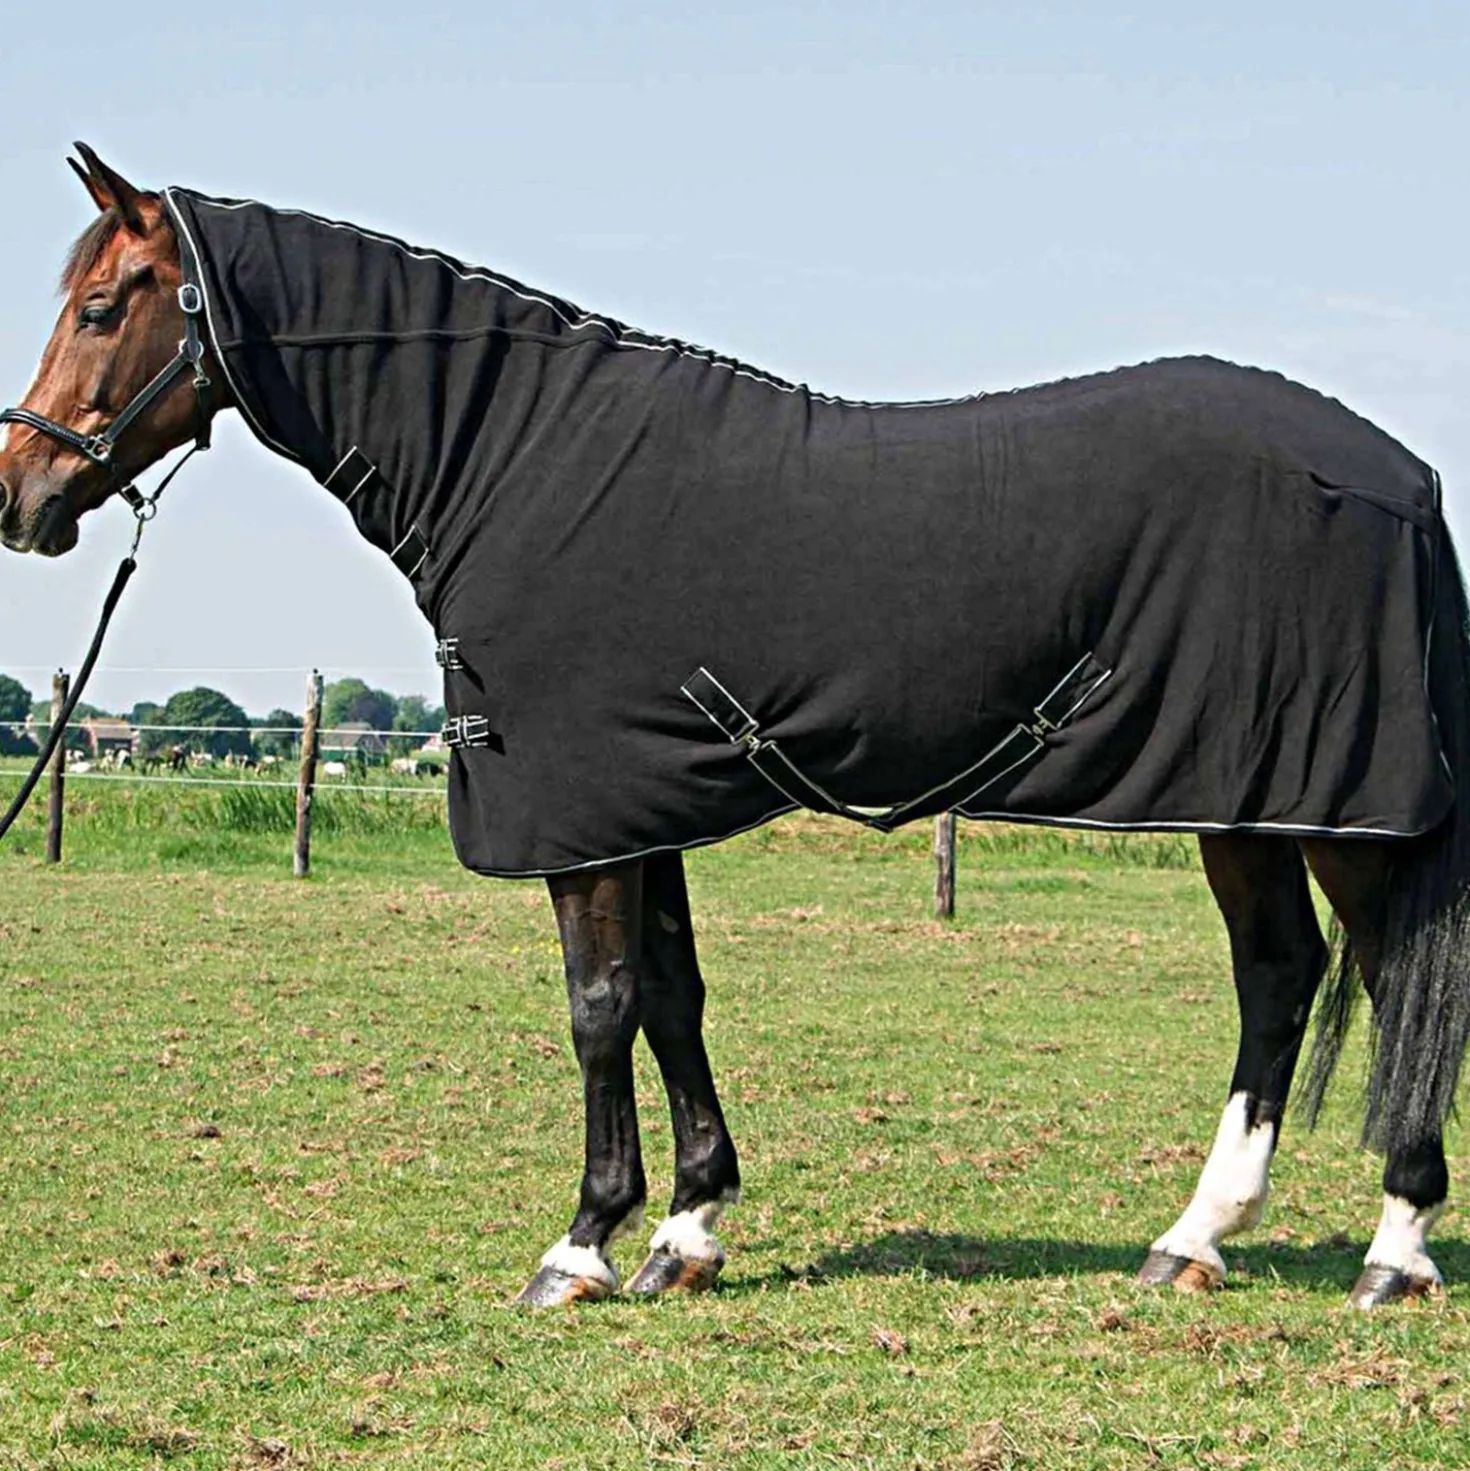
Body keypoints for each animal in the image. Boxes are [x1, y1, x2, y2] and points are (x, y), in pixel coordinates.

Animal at [2, 145, 1467, 1311]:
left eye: (99, 305)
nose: (21, 494)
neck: (520, 465)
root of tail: (1397, 476)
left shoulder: (583, 815)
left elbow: (599, 1009)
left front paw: (581, 1246)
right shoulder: (638, 799)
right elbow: (671, 996)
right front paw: (687, 1227)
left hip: (1331, 804)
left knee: (1380, 974)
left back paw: (1392, 1250)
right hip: (1250, 799)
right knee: (1280, 974)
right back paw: (1193, 1239)